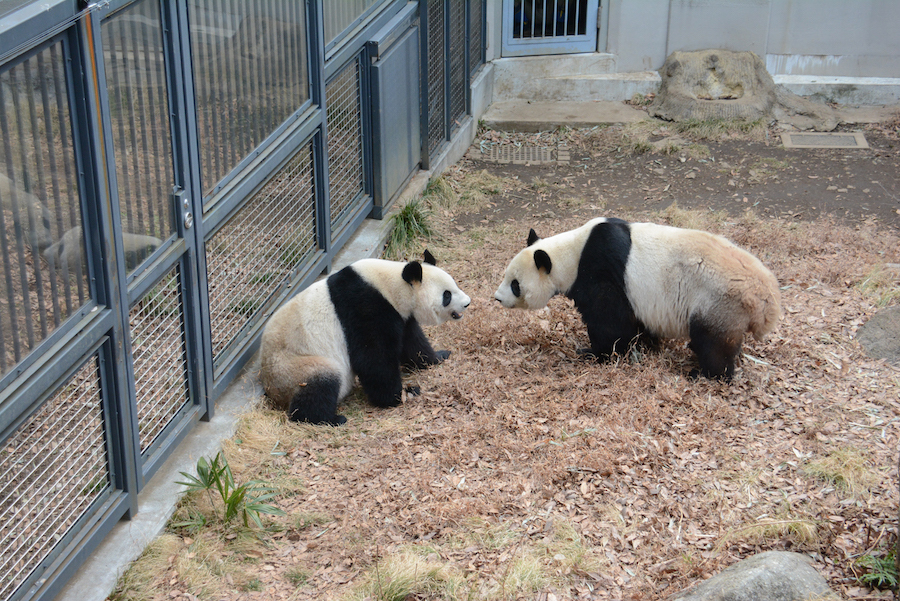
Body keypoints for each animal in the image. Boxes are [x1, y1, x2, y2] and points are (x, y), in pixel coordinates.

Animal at [260, 251, 472, 424]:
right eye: (446, 295)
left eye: (454, 285)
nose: (467, 303)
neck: (392, 285)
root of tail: (273, 393)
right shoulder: (365, 307)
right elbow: (373, 357)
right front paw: (399, 395)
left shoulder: (400, 314)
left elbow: (412, 342)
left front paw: (439, 356)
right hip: (292, 367)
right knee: (320, 382)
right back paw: (328, 419)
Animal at [492, 218, 780, 380]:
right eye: (506, 276)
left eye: (515, 285)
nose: (497, 298)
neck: (571, 253)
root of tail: (766, 298)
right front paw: (647, 343)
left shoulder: (600, 270)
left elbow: (610, 321)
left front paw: (594, 353)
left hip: (718, 301)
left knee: (712, 343)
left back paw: (704, 374)